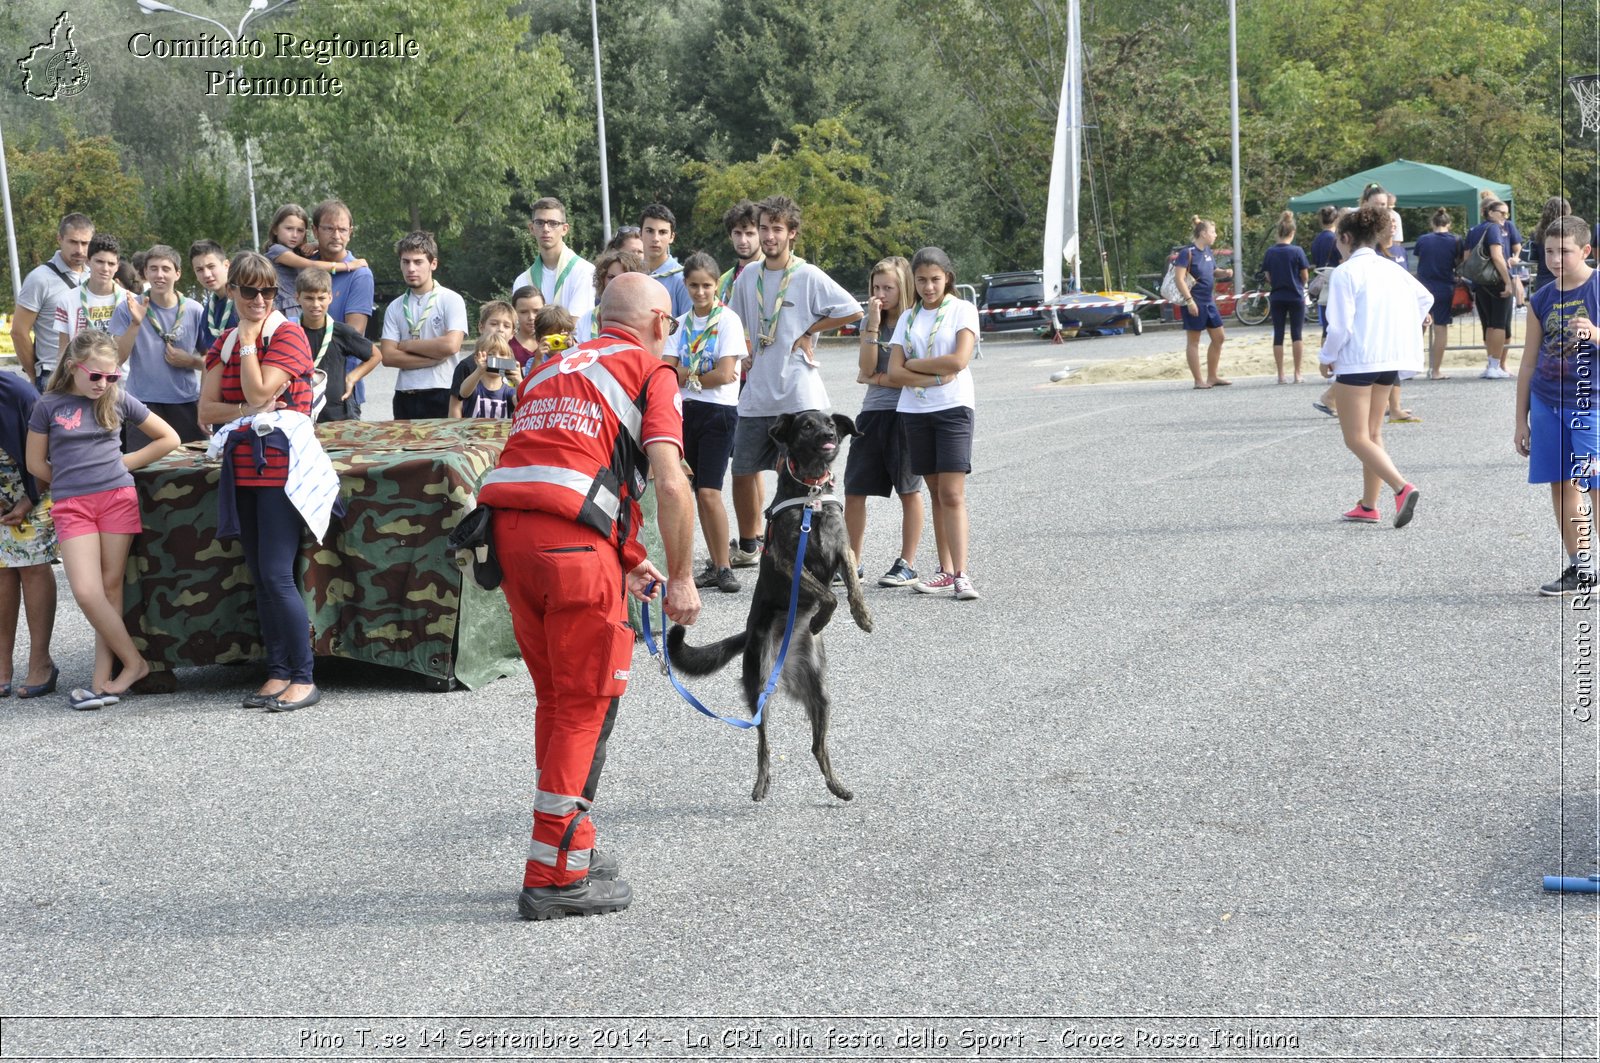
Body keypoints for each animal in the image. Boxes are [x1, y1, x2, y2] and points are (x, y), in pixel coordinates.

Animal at [672, 406, 883, 797]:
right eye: (807, 426)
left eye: (830, 423)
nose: (829, 434)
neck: (812, 492)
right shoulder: (789, 560)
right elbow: (827, 594)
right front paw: (820, 619)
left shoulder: (843, 550)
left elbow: (850, 587)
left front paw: (862, 616)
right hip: (759, 688)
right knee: (763, 743)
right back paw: (761, 783)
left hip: (821, 694)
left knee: (817, 745)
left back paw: (836, 785)